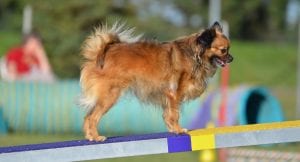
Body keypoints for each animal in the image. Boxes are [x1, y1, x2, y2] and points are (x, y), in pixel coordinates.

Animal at [79, 21, 232, 142]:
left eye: (228, 49)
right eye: (223, 50)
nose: (232, 58)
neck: (194, 55)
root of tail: (99, 52)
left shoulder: (168, 96)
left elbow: (167, 114)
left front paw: (172, 129)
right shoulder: (174, 94)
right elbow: (174, 114)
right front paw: (178, 130)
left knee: (87, 117)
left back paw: (90, 137)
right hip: (109, 96)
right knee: (93, 118)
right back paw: (97, 137)